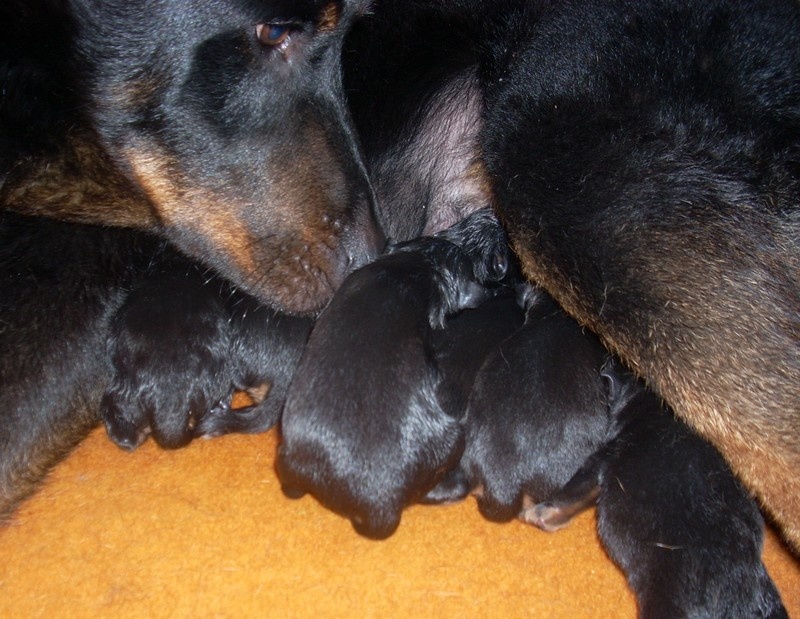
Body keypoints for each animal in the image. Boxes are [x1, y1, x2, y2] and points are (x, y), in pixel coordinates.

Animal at [276, 211, 510, 540]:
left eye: (453, 228)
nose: (489, 214)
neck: (416, 262)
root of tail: (376, 508)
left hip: (288, 463)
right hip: (452, 440)